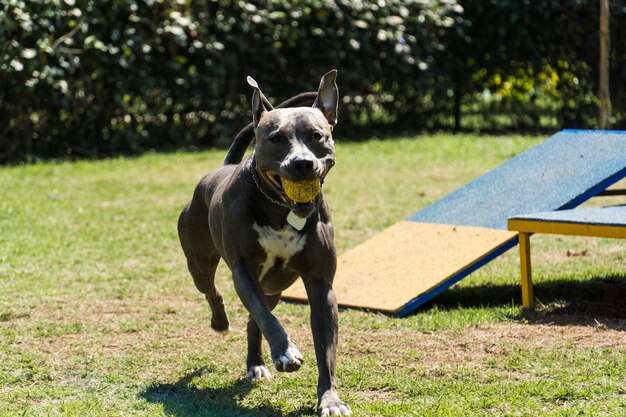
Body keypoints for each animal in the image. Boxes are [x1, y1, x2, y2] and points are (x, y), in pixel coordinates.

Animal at [178, 70, 348, 414]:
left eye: (317, 136)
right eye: (276, 138)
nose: (302, 163)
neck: (281, 210)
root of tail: (221, 168)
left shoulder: (321, 284)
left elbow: (326, 350)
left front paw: (330, 399)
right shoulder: (244, 271)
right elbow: (266, 317)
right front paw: (286, 352)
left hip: (274, 288)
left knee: (253, 320)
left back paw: (255, 363)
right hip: (199, 261)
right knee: (213, 291)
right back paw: (221, 322)